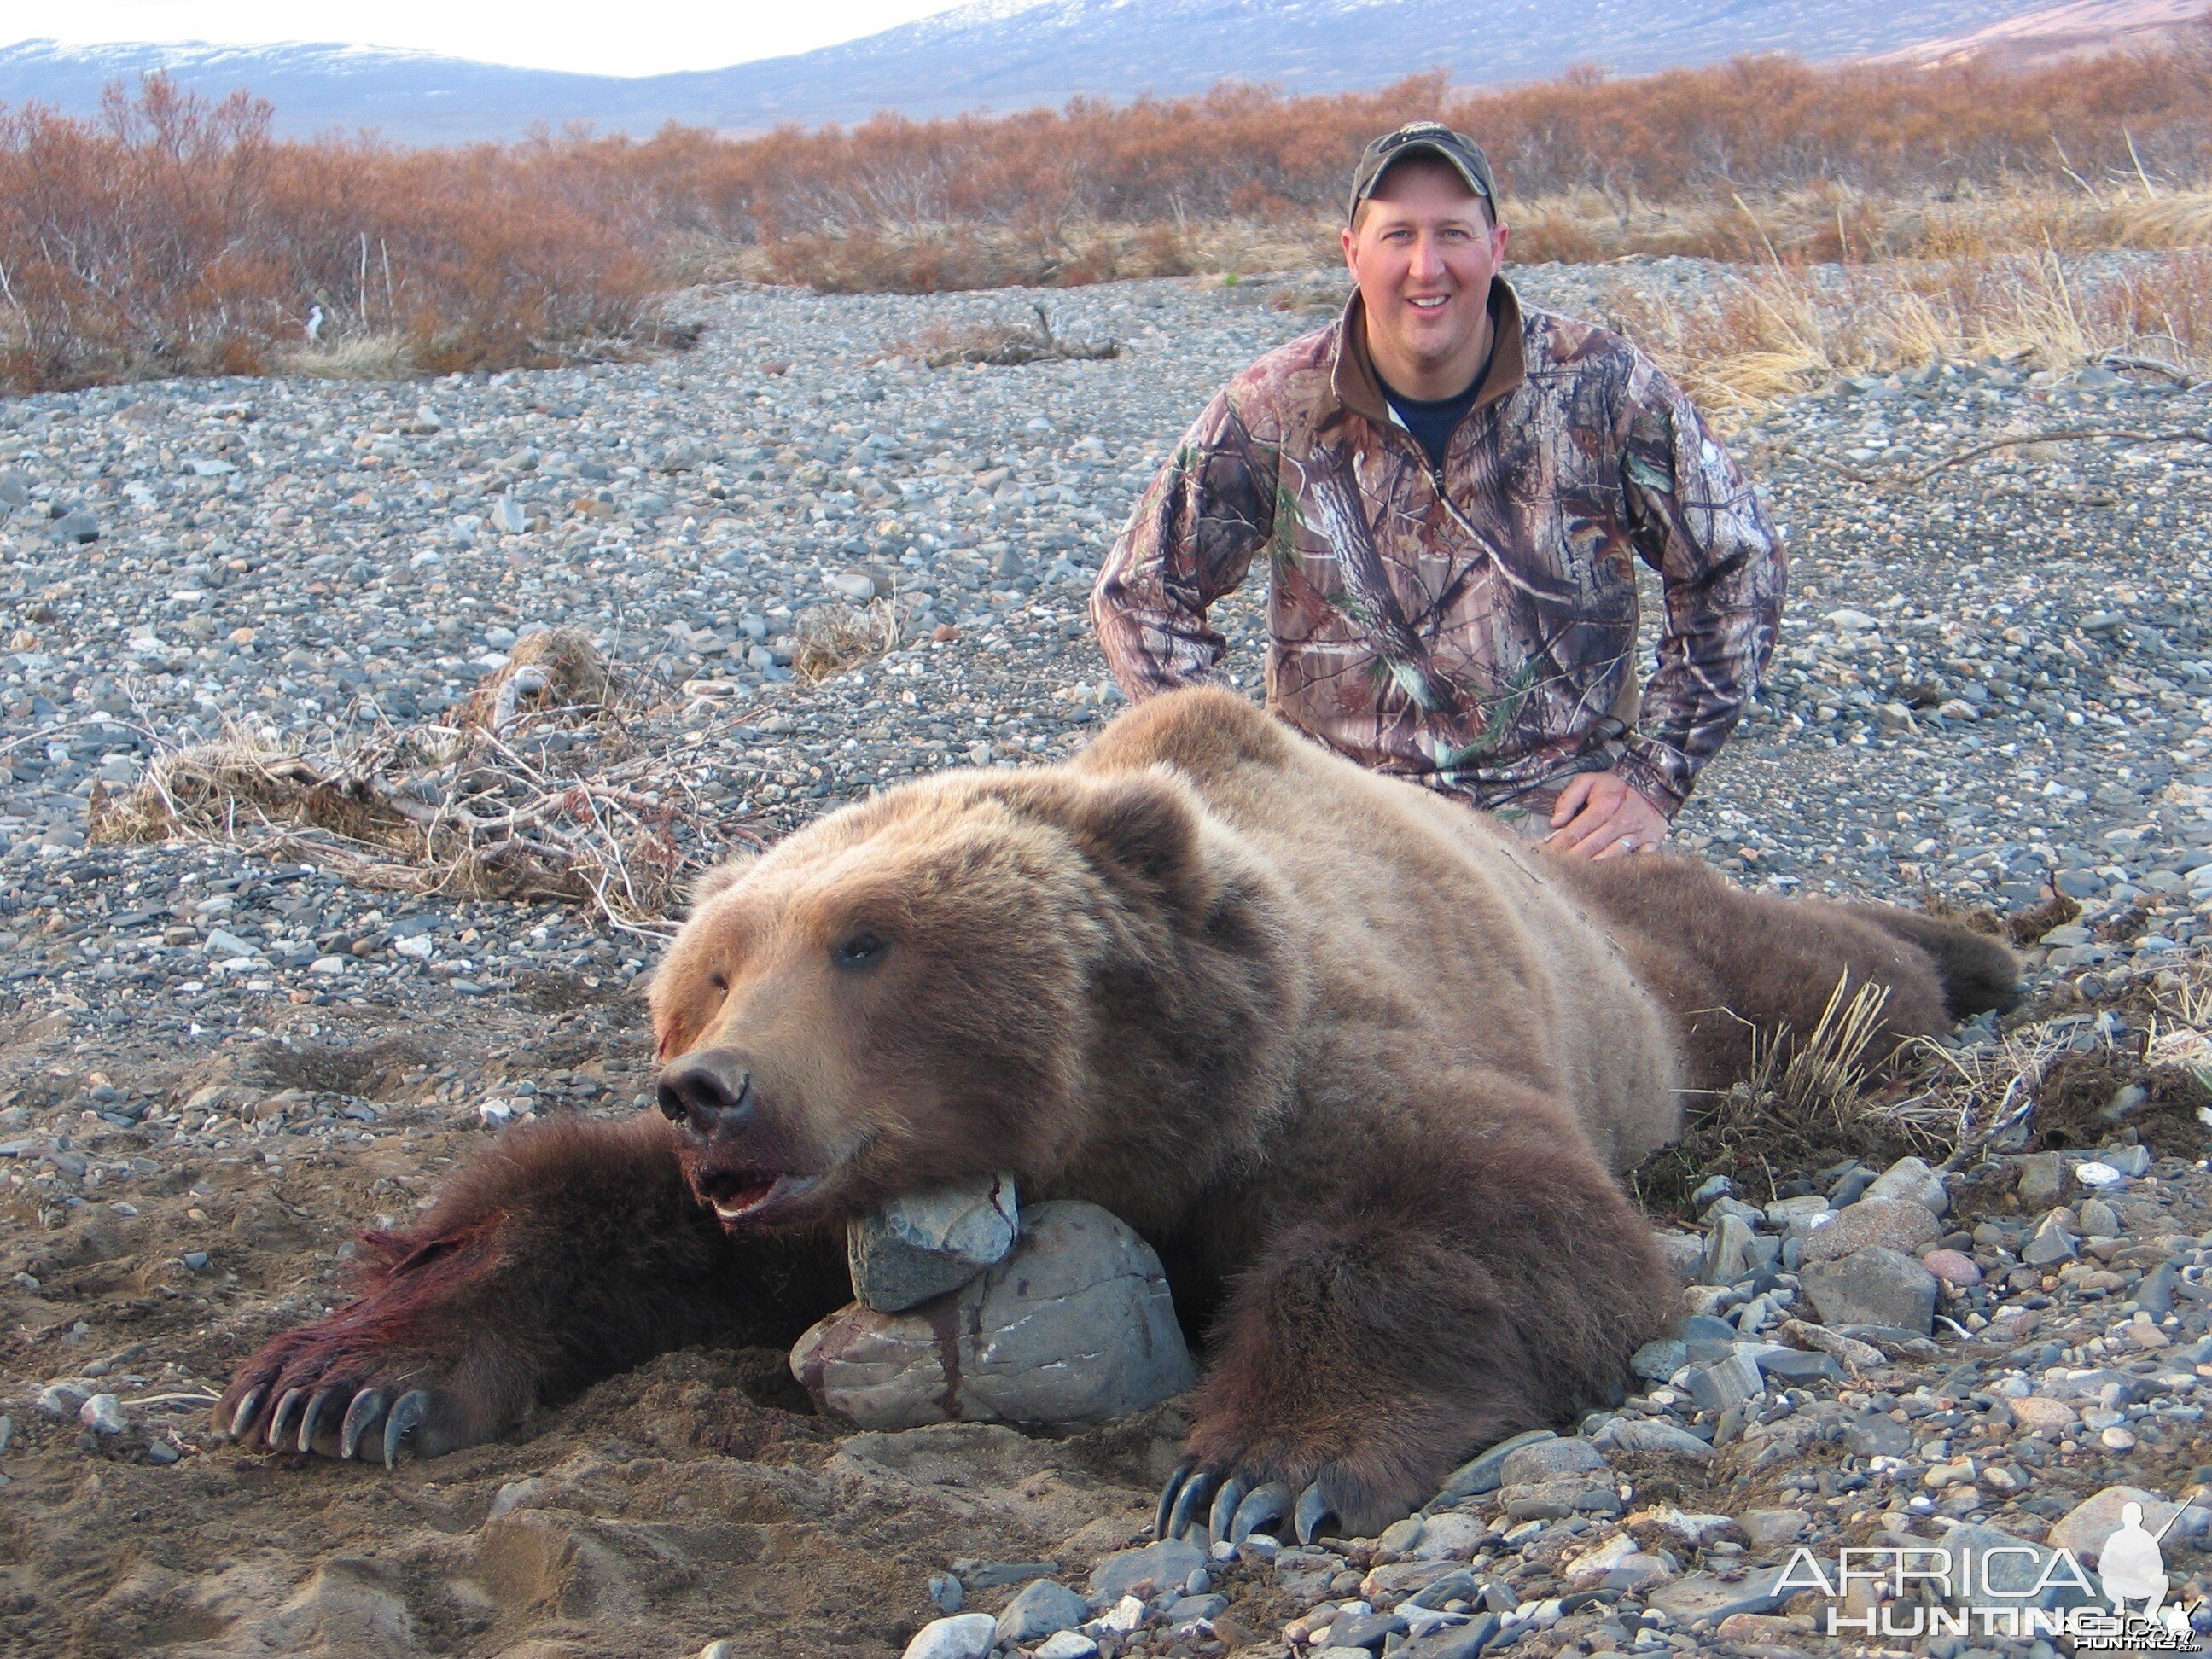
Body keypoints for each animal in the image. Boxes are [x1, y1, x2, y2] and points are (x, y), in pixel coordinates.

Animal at [215, 690, 2017, 1548]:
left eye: (862, 940)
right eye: (711, 968)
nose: (708, 1083)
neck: (1116, 1122)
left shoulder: (1314, 1080)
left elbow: (1477, 1214)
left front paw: (1260, 1466)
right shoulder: (816, 1209)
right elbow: (584, 1211)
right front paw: (336, 1377)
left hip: (1654, 976)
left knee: (1810, 969)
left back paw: (1973, 950)